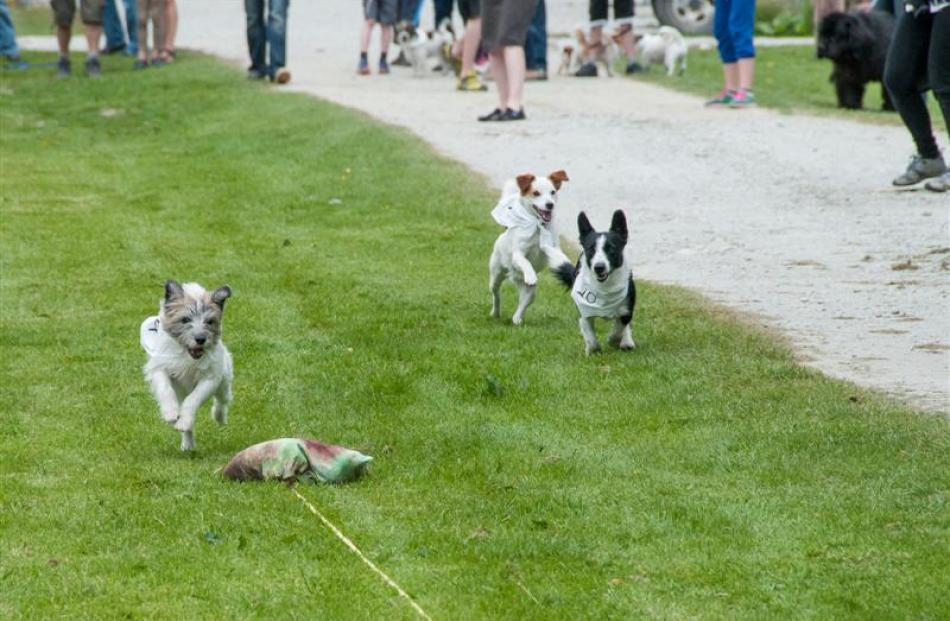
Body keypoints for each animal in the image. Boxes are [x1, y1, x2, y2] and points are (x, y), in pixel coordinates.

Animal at [141, 280, 234, 450]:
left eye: (209, 321)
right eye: (185, 320)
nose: (200, 339)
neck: (187, 356)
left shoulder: (210, 378)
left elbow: (193, 399)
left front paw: (184, 421)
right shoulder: (160, 368)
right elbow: (165, 389)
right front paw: (170, 413)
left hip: (224, 383)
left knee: (222, 401)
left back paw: (219, 418)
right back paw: (187, 444)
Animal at [490, 170, 572, 324]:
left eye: (552, 192)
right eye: (536, 193)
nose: (550, 204)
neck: (538, 226)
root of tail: (515, 275)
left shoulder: (554, 248)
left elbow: (559, 256)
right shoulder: (518, 253)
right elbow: (525, 261)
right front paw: (530, 274)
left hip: (530, 291)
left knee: (524, 302)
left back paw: (517, 319)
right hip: (496, 274)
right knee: (496, 294)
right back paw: (495, 312)